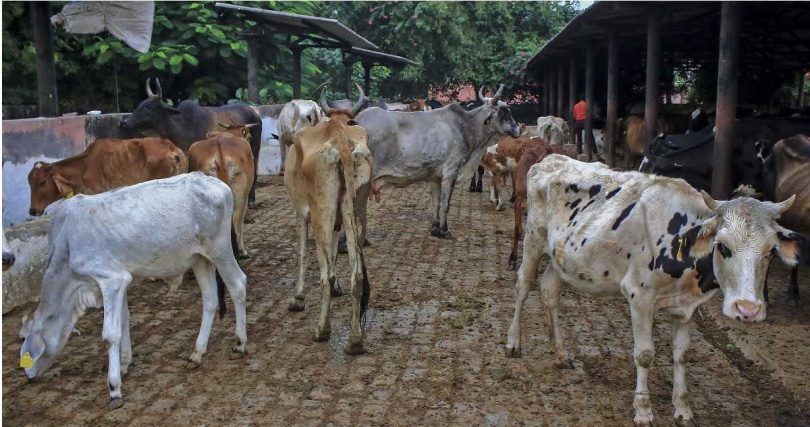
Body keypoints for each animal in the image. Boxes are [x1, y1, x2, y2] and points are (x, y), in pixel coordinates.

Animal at [120, 80, 262, 209]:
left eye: (149, 106)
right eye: (140, 104)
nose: (125, 122)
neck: (182, 126)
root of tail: (255, 114)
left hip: (255, 150)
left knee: (254, 174)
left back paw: (252, 202)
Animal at [284, 83, 372, 354]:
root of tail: (340, 140)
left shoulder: (301, 212)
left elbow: (302, 254)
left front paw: (297, 298)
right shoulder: (337, 222)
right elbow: (334, 252)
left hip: (320, 213)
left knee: (326, 275)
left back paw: (322, 330)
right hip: (355, 209)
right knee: (357, 275)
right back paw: (355, 340)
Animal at [504, 155, 800, 427]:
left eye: (771, 251)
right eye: (722, 246)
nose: (747, 309)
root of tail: (552, 159)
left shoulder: (686, 307)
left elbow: (681, 354)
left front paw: (682, 407)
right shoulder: (640, 298)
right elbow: (644, 355)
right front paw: (643, 410)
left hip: (562, 258)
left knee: (549, 291)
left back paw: (561, 353)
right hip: (533, 239)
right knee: (523, 286)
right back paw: (513, 343)